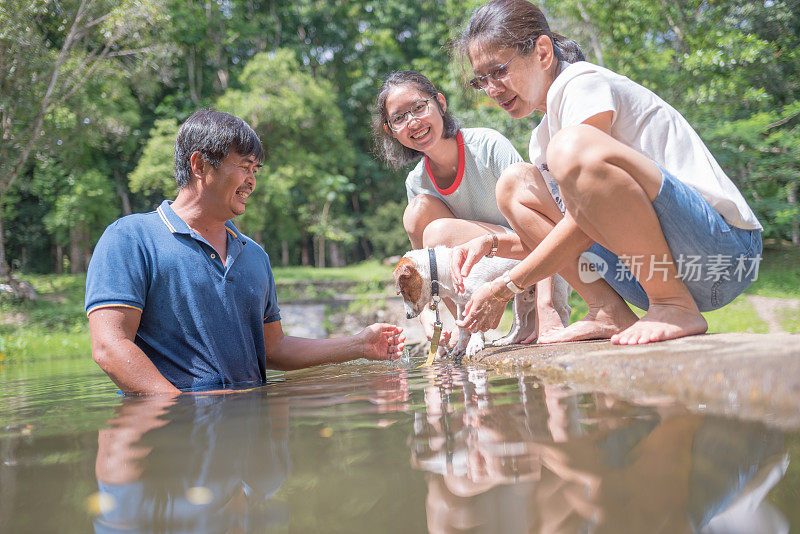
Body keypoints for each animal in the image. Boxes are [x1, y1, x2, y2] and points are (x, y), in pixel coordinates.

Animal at [392, 247, 568, 360]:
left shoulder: (478, 300)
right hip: (522, 299)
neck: (442, 270)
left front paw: (474, 345)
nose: (407, 316)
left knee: (564, 311)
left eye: (402, 291)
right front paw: (460, 347)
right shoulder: (461, 304)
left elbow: (475, 325)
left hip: (554, 292)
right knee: (520, 323)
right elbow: (463, 328)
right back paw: (507, 341)